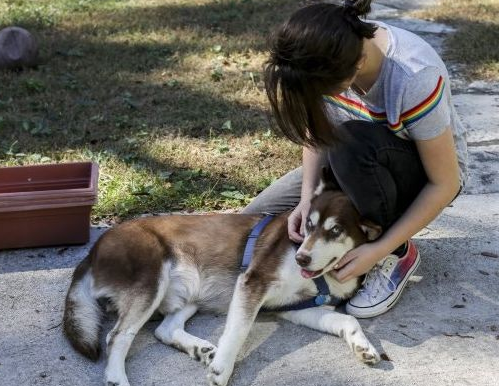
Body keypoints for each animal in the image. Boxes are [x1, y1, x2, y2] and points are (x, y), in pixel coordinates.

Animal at [63, 176, 382, 386]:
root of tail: (93, 250)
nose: (301, 258)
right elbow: (237, 331)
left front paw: (363, 347)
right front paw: (222, 370)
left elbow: (347, 320)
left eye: (336, 230)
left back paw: (200, 348)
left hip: (190, 292)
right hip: (151, 280)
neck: (325, 276)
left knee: (165, 329)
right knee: (117, 335)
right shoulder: (252, 283)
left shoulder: (295, 308)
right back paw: (118, 378)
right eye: (308, 225)